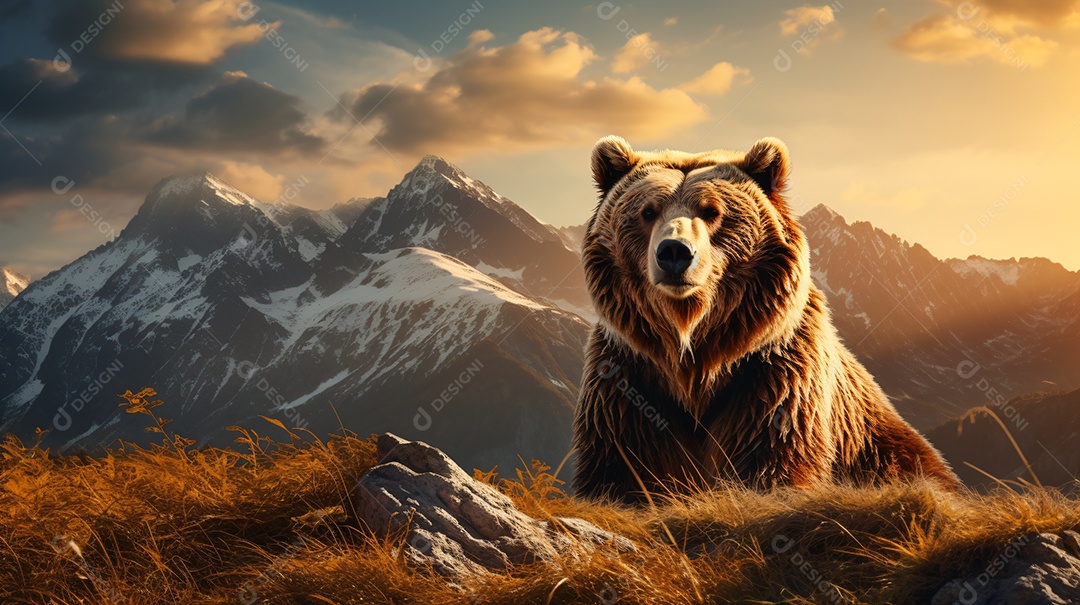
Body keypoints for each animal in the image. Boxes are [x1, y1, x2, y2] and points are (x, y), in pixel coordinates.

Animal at [572, 135, 960, 502]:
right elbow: (626, 467)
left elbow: (771, 462)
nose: (674, 252)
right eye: (648, 211)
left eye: (712, 211)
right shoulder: (629, 382)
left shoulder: (773, 380)